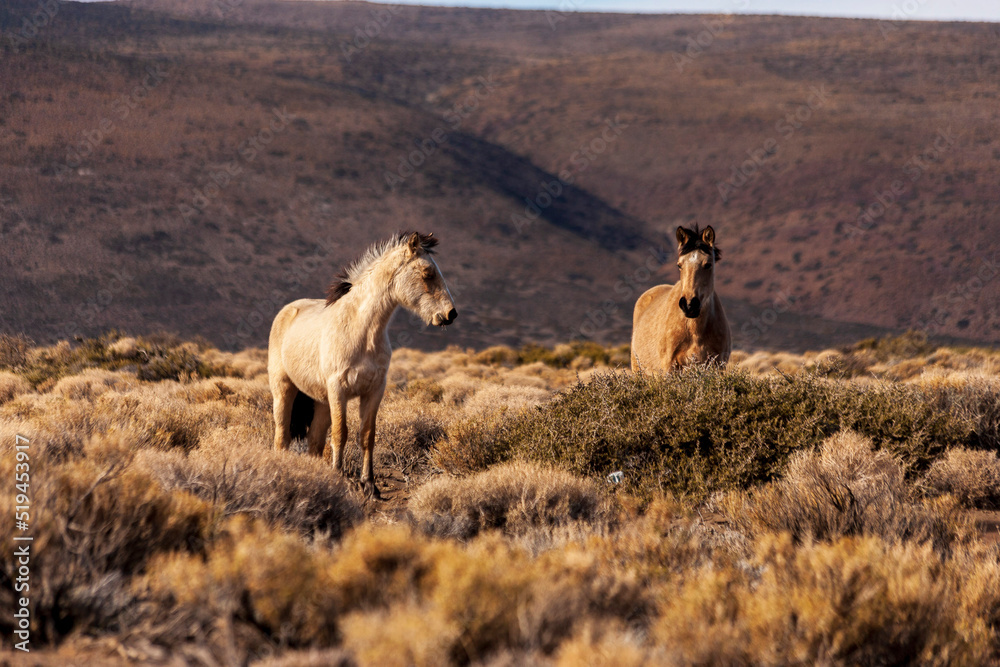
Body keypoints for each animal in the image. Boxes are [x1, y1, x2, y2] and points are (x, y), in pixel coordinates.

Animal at [268, 231, 457, 498]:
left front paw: (369, 485)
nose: (451, 314)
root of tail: (287, 311)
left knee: (314, 442)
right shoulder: (339, 390)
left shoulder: (373, 391)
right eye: (427, 273)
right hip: (284, 391)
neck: (362, 331)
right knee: (282, 436)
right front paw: (340, 478)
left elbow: (367, 435)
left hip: (320, 401)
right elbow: (341, 434)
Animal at [630, 225, 731, 372]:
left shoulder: (718, 366)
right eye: (679, 265)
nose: (689, 305)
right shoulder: (669, 367)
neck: (694, 329)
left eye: (708, 264)